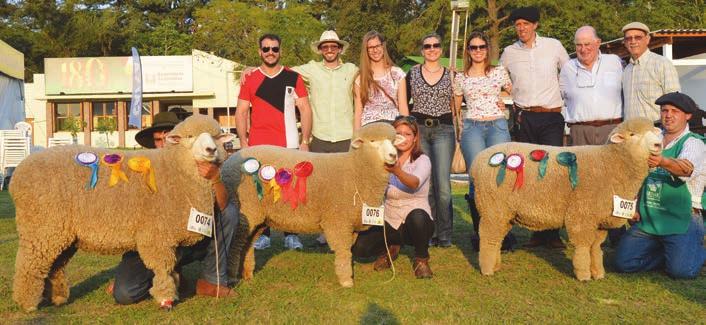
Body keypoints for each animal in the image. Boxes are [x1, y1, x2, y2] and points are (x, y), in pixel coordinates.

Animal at [470, 117, 664, 280]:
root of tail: (477, 161)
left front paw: (598, 273)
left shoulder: (599, 220)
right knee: (488, 237)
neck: (610, 164)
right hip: (492, 207)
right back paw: (487, 270)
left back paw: (495, 266)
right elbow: (584, 247)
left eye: (653, 131)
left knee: (496, 238)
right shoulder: (582, 214)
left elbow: (596, 248)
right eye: (632, 134)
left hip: (504, 212)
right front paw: (584, 274)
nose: (658, 144)